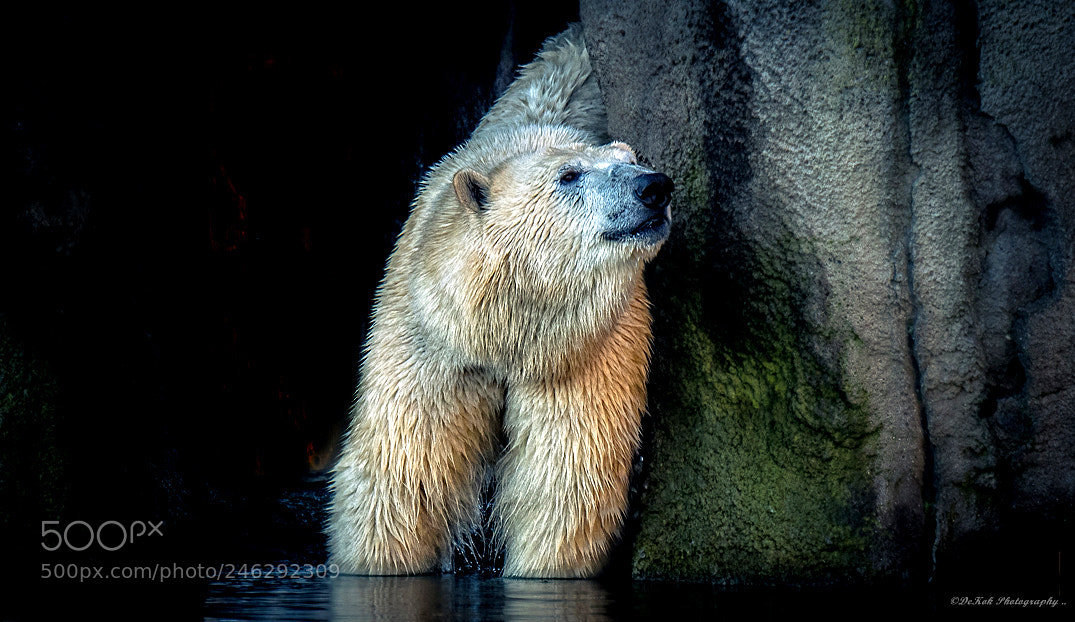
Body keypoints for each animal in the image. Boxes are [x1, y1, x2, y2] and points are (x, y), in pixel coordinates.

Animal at [327, 24, 673, 578]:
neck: (506, 333)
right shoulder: (432, 339)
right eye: (569, 176)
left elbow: (563, 480)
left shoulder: (585, 351)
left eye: (633, 161)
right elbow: (402, 470)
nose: (654, 187)